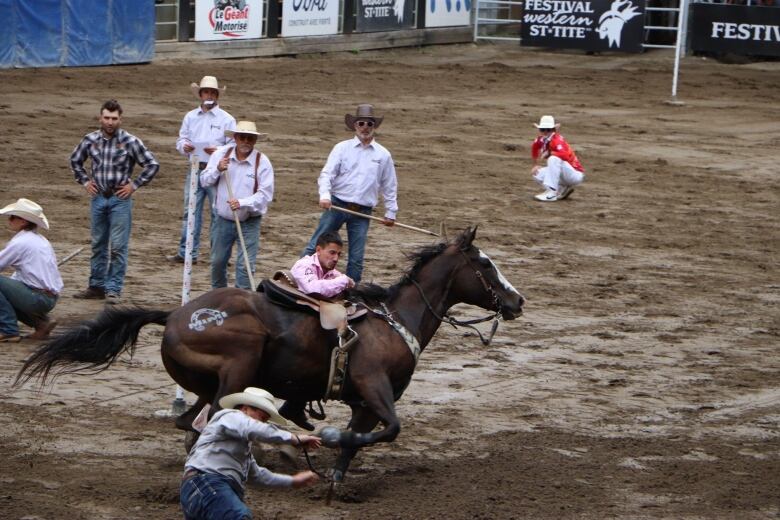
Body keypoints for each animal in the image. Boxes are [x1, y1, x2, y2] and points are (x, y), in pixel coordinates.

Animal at [16, 228, 524, 480]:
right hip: (238, 366)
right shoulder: (375, 388)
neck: (393, 320)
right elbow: (388, 430)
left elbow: (358, 444)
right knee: (201, 426)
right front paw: (324, 440)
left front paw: (334, 479)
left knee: (189, 424)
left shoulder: (365, 402)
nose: (517, 301)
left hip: (210, 385)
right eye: (484, 264)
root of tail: (176, 314)